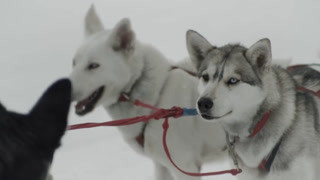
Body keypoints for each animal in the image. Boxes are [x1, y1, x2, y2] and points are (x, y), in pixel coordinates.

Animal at [69, 5, 226, 180]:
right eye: (74, 63)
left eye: (93, 65)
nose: (64, 90)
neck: (158, 98)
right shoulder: (161, 165)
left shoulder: (185, 167)